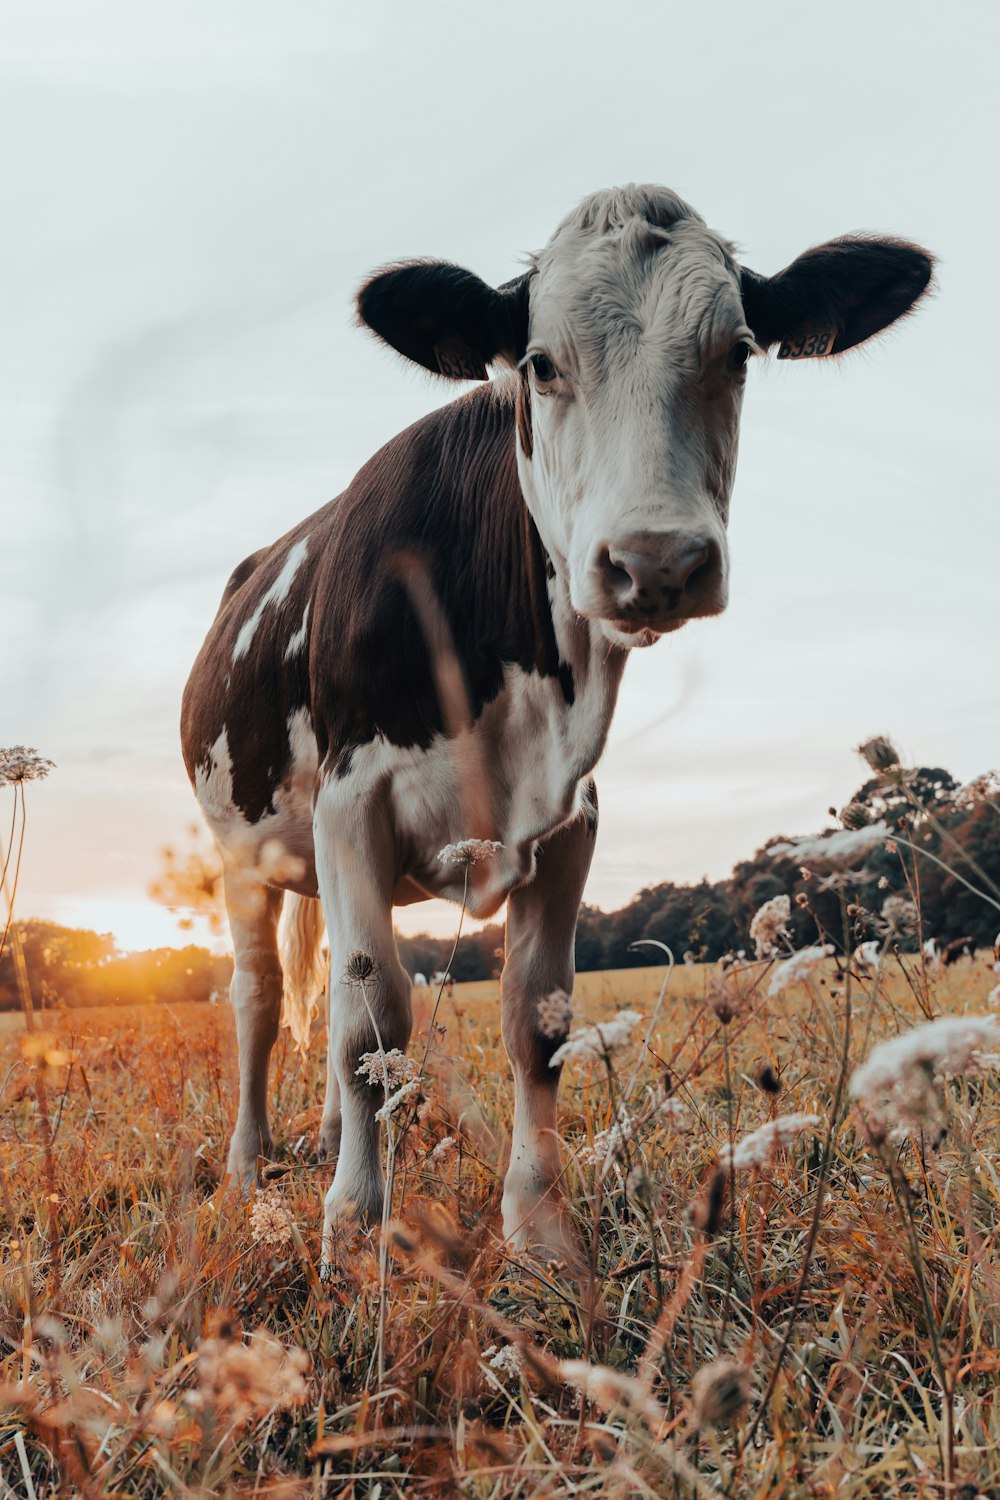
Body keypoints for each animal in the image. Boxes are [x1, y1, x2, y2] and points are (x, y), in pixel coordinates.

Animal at [182, 181, 941, 1254]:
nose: (658, 560)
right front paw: (354, 1229)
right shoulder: (349, 800)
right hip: (241, 852)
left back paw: (329, 1134)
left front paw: (539, 1231)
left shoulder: (571, 816)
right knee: (259, 1000)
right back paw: (249, 1170)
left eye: (738, 353)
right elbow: (371, 1016)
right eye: (541, 364)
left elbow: (531, 1021)